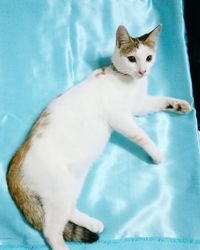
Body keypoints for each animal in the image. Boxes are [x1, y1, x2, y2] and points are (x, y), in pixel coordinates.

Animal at [6, 24, 191, 250]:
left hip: (70, 185)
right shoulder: (120, 117)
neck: (127, 81)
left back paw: (93, 223)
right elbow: (141, 135)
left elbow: (159, 100)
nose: (143, 71)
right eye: (132, 58)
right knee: (50, 229)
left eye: (148, 58)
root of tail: (15, 161)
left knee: (67, 211)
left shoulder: (139, 106)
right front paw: (155, 153)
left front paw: (179, 104)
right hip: (58, 188)